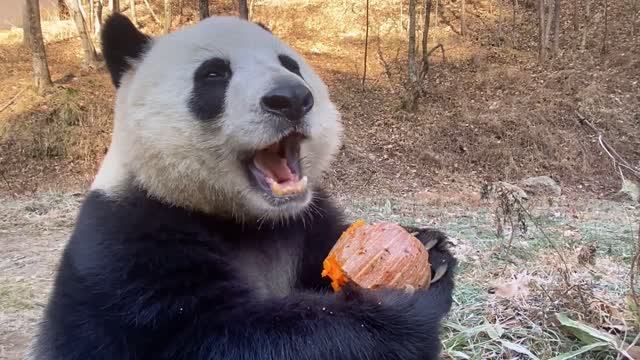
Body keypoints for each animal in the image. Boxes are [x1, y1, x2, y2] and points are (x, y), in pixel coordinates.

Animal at [30, 13, 458, 360]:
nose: (292, 98)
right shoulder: (131, 250)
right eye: (213, 74)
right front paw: (396, 308)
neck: (250, 219)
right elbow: (232, 339)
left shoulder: (305, 220)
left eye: (291, 65)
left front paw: (430, 246)